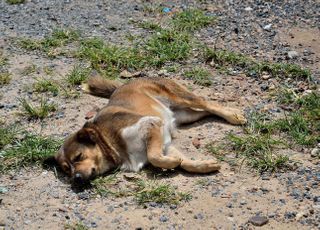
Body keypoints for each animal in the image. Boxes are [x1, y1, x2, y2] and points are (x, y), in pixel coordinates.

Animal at [55, 77, 246, 183]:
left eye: (78, 157)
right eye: (66, 170)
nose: (76, 180)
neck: (107, 141)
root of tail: (125, 83)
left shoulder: (151, 124)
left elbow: (154, 157)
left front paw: (175, 163)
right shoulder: (165, 144)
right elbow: (181, 161)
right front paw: (203, 166)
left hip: (181, 97)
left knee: (208, 103)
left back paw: (234, 116)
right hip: (186, 115)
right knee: (206, 111)